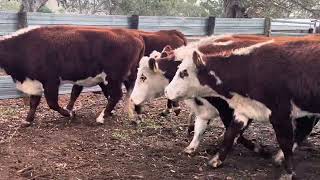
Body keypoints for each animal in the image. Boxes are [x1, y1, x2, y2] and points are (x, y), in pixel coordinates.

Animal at [0, 25, 145, 126]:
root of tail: (135, 37)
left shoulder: (51, 81)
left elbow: (52, 103)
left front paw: (70, 113)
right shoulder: (35, 82)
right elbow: (33, 103)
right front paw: (27, 121)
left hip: (113, 77)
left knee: (116, 95)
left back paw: (101, 117)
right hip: (124, 76)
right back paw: (133, 115)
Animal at [165, 35, 320, 178]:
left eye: (184, 72)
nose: (166, 91)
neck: (250, 70)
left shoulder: (280, 114)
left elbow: (285, 143)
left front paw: (288, 172)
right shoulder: (245, 110)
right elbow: (231, 133)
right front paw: (216, 160)